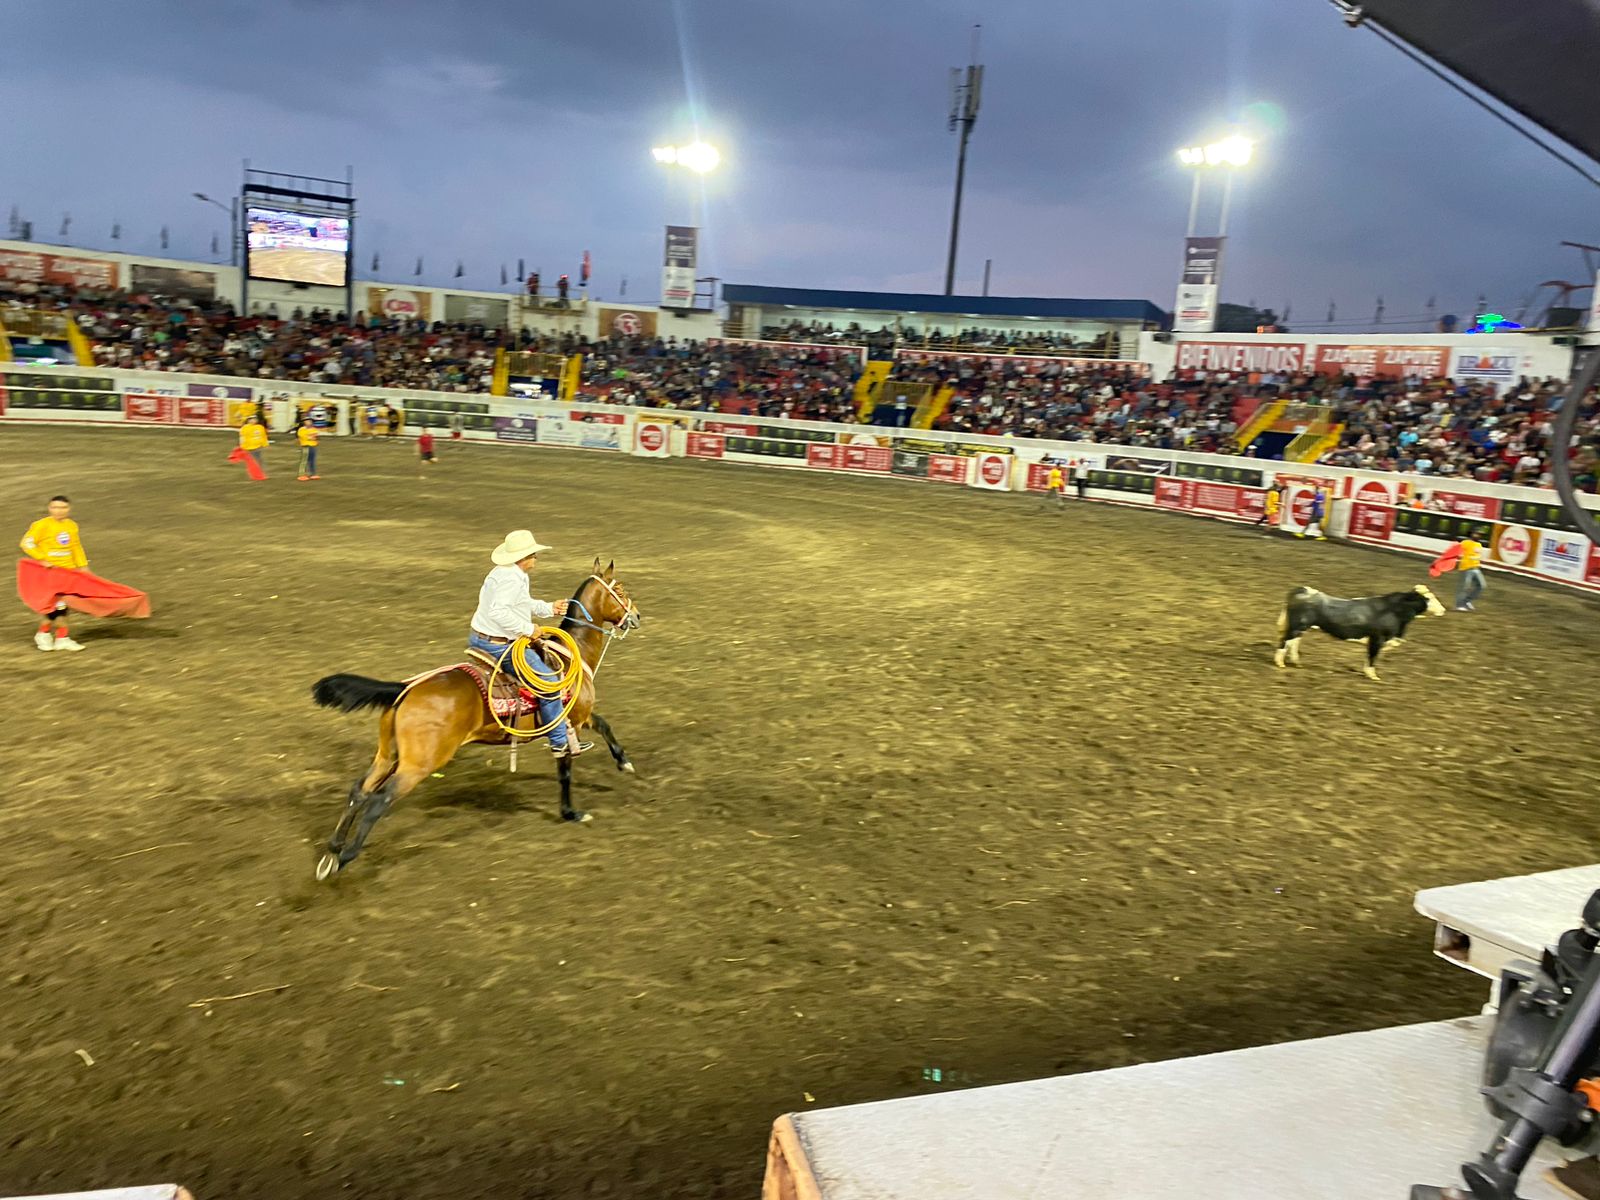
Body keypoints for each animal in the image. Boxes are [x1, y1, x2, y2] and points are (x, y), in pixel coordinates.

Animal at [308, 560, 640, 876]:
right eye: (620, 590)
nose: (636, 616)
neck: (572, 653)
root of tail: (406, 689)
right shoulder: (573, 723)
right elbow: (567, 767)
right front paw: (572, 812)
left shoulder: (581, 719)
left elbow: (604, 725)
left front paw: (623, 762)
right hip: (419, 764)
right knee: (379, 800)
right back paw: (345, 857)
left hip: (388, 755)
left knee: (359, 790)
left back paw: (333, 848)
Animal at [1273, 585, 1452, 681]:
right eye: (1429, 598)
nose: (1443, 610)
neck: (1394, 611)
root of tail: (1305, 590)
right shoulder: (1378, 639)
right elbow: (1372, 657)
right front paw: (1373, 676)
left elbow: (1368, 657)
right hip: (1297, 626)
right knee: (1285, 641)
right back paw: (1280, 663)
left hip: (1301, 627)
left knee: (1293, 642)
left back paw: (1296, 662)